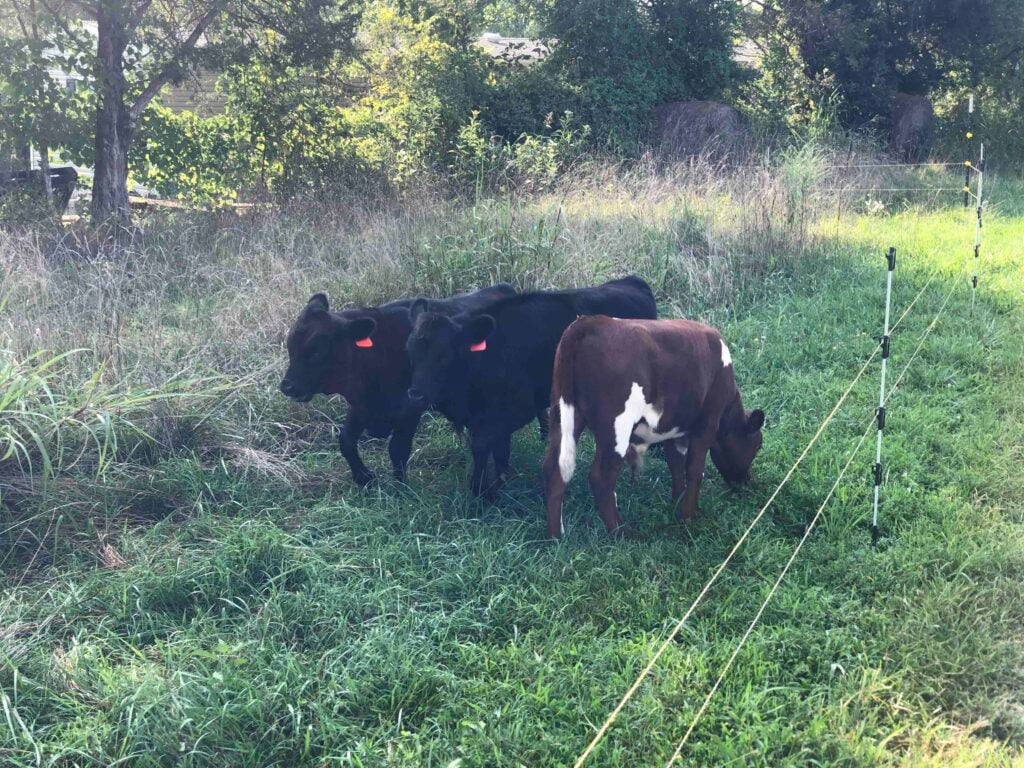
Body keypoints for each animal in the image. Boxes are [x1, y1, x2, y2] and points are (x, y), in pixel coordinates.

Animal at [280, 282, 516, 487]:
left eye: (316, 352)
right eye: (290, 346)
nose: (287, 386)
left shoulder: (410, 407)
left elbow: (397, 449)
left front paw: (400, 487)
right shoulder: (359, 406)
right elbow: (346, 441)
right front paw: (364, 479)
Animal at [401, 280, 655, 495]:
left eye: (444, 356)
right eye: (410, 351)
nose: (415, 395)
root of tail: (632, 282)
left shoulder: (515, 411)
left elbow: (484, 445)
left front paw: (481, 491)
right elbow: (497, 450)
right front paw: (500, 482)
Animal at [540, 315, 765, 536]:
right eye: (756, 446)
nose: (747, 481)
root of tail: (591, 321)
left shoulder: (674, 427)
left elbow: (676, 463)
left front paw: (676, 503)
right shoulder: (707, 423)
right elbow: (694, 470)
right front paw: (688, 517)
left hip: (563, 415)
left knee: (555, 470)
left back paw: (555, 536)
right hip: (616, 426)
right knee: (601, 477)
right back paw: (621, 532)